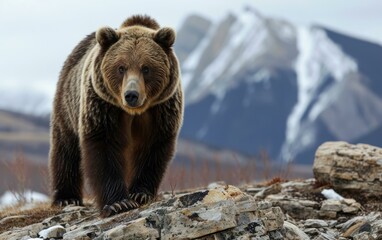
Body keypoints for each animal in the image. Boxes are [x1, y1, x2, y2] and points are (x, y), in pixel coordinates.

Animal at [48, 15, 183, 218]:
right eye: (121, 67)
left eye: (146, 68)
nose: (131, 95)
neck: (134, 113)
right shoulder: (103, 107)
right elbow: (104, 149)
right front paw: (119, 203)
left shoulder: (161, 110)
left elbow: (152, 149)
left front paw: (140, 193)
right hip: (67, 105)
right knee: (66, 149)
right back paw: (67, 197)